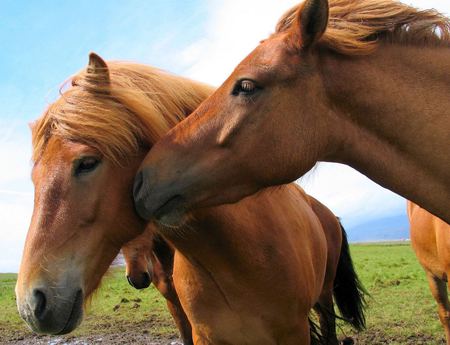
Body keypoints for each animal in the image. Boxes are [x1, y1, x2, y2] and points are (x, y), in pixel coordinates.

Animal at [15, 53, 366, 344]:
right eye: (34, 179)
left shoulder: (292, 332)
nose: (31, 303)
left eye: (87, 163)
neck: (237, 256)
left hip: (323, 297)